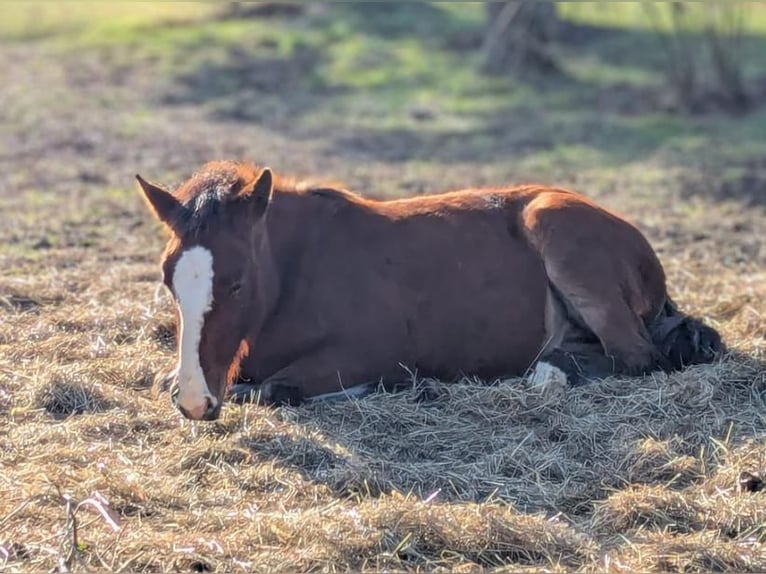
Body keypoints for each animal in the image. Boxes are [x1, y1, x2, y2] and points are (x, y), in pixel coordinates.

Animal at [136, 162, 728, 424]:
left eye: (236, 282)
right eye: (168, 279)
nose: (196, 402)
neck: (297, 273)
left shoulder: (373, 353)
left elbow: (277, 389)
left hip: (560, 235)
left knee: (636, 358)